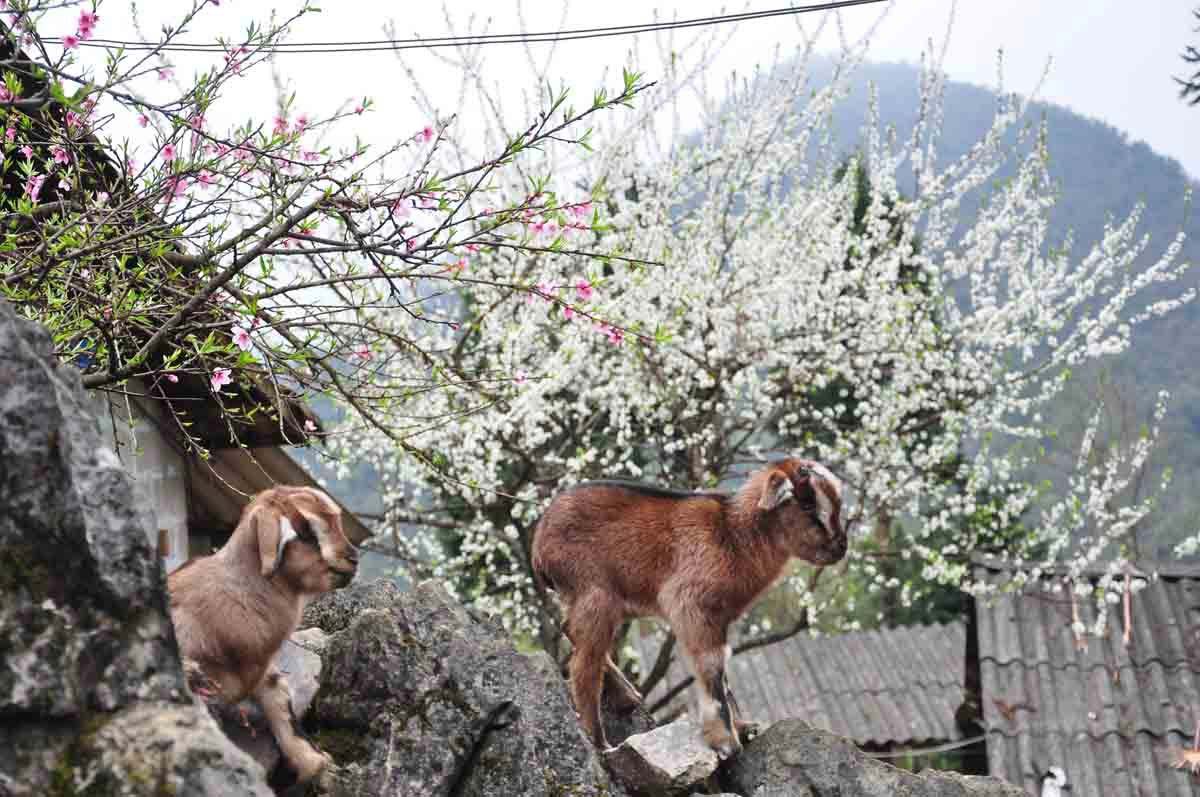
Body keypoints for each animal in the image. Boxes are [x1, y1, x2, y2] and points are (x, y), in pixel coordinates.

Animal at [530, 458, 849, 758]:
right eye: (807, 504)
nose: (840, 547)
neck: (735, 532)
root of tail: (539, 543)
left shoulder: (719, 617)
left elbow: (724, 670)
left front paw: (743, 728)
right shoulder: (691, 605)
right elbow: (712, 665)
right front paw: (725, 741)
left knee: (571, 631)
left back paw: (626, 695)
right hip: (594, 593)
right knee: (584, 664)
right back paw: (600, 741)